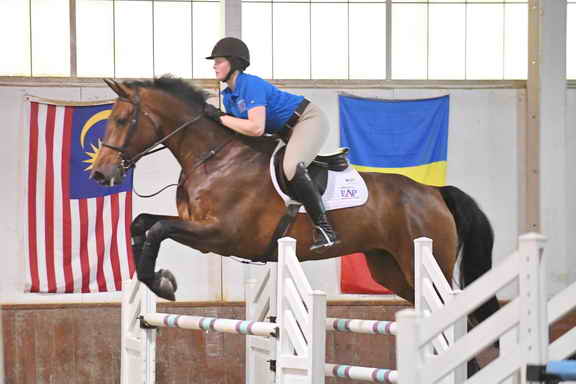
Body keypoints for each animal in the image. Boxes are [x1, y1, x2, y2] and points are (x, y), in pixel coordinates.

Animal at [92, 76, 498, 328]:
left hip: (426, 262)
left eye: (123, 120)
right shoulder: (197, 227)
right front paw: (154, 277)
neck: (213, 157)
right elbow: (143, 223)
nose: (100, 173)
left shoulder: (221, 235)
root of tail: (434, 193)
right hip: (390, 268)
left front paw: (162, 283)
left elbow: (158, 228)